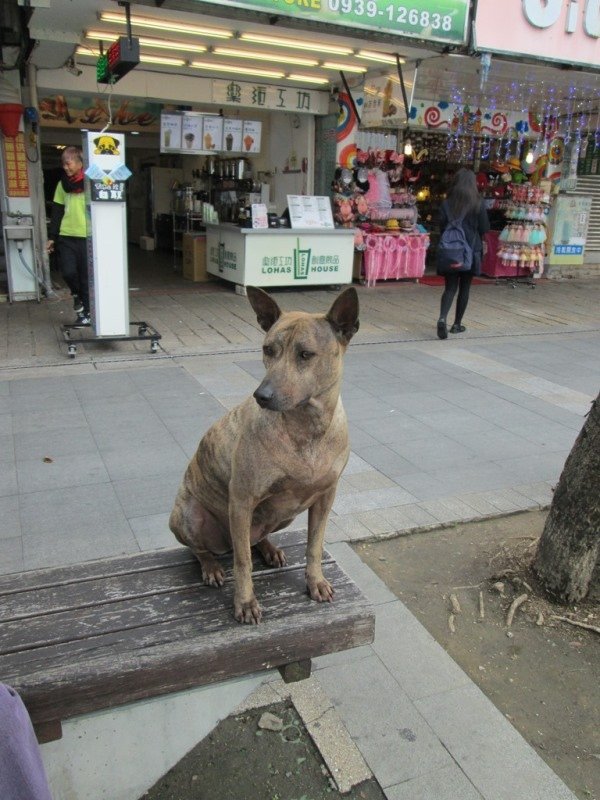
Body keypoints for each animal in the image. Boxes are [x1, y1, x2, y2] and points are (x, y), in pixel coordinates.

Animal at [169, 288, 358, 624]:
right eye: (268, 349)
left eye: (305, 354)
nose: (262, 396)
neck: (306, 428)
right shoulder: (242, 500)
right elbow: (243, 563)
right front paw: (245, 603)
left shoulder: (326, 496)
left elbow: (315, 545)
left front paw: (316, 581)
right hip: (189, 515)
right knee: (204, 549)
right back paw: (211, 567)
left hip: (284, 515)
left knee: (256, 539)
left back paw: (270, 549)